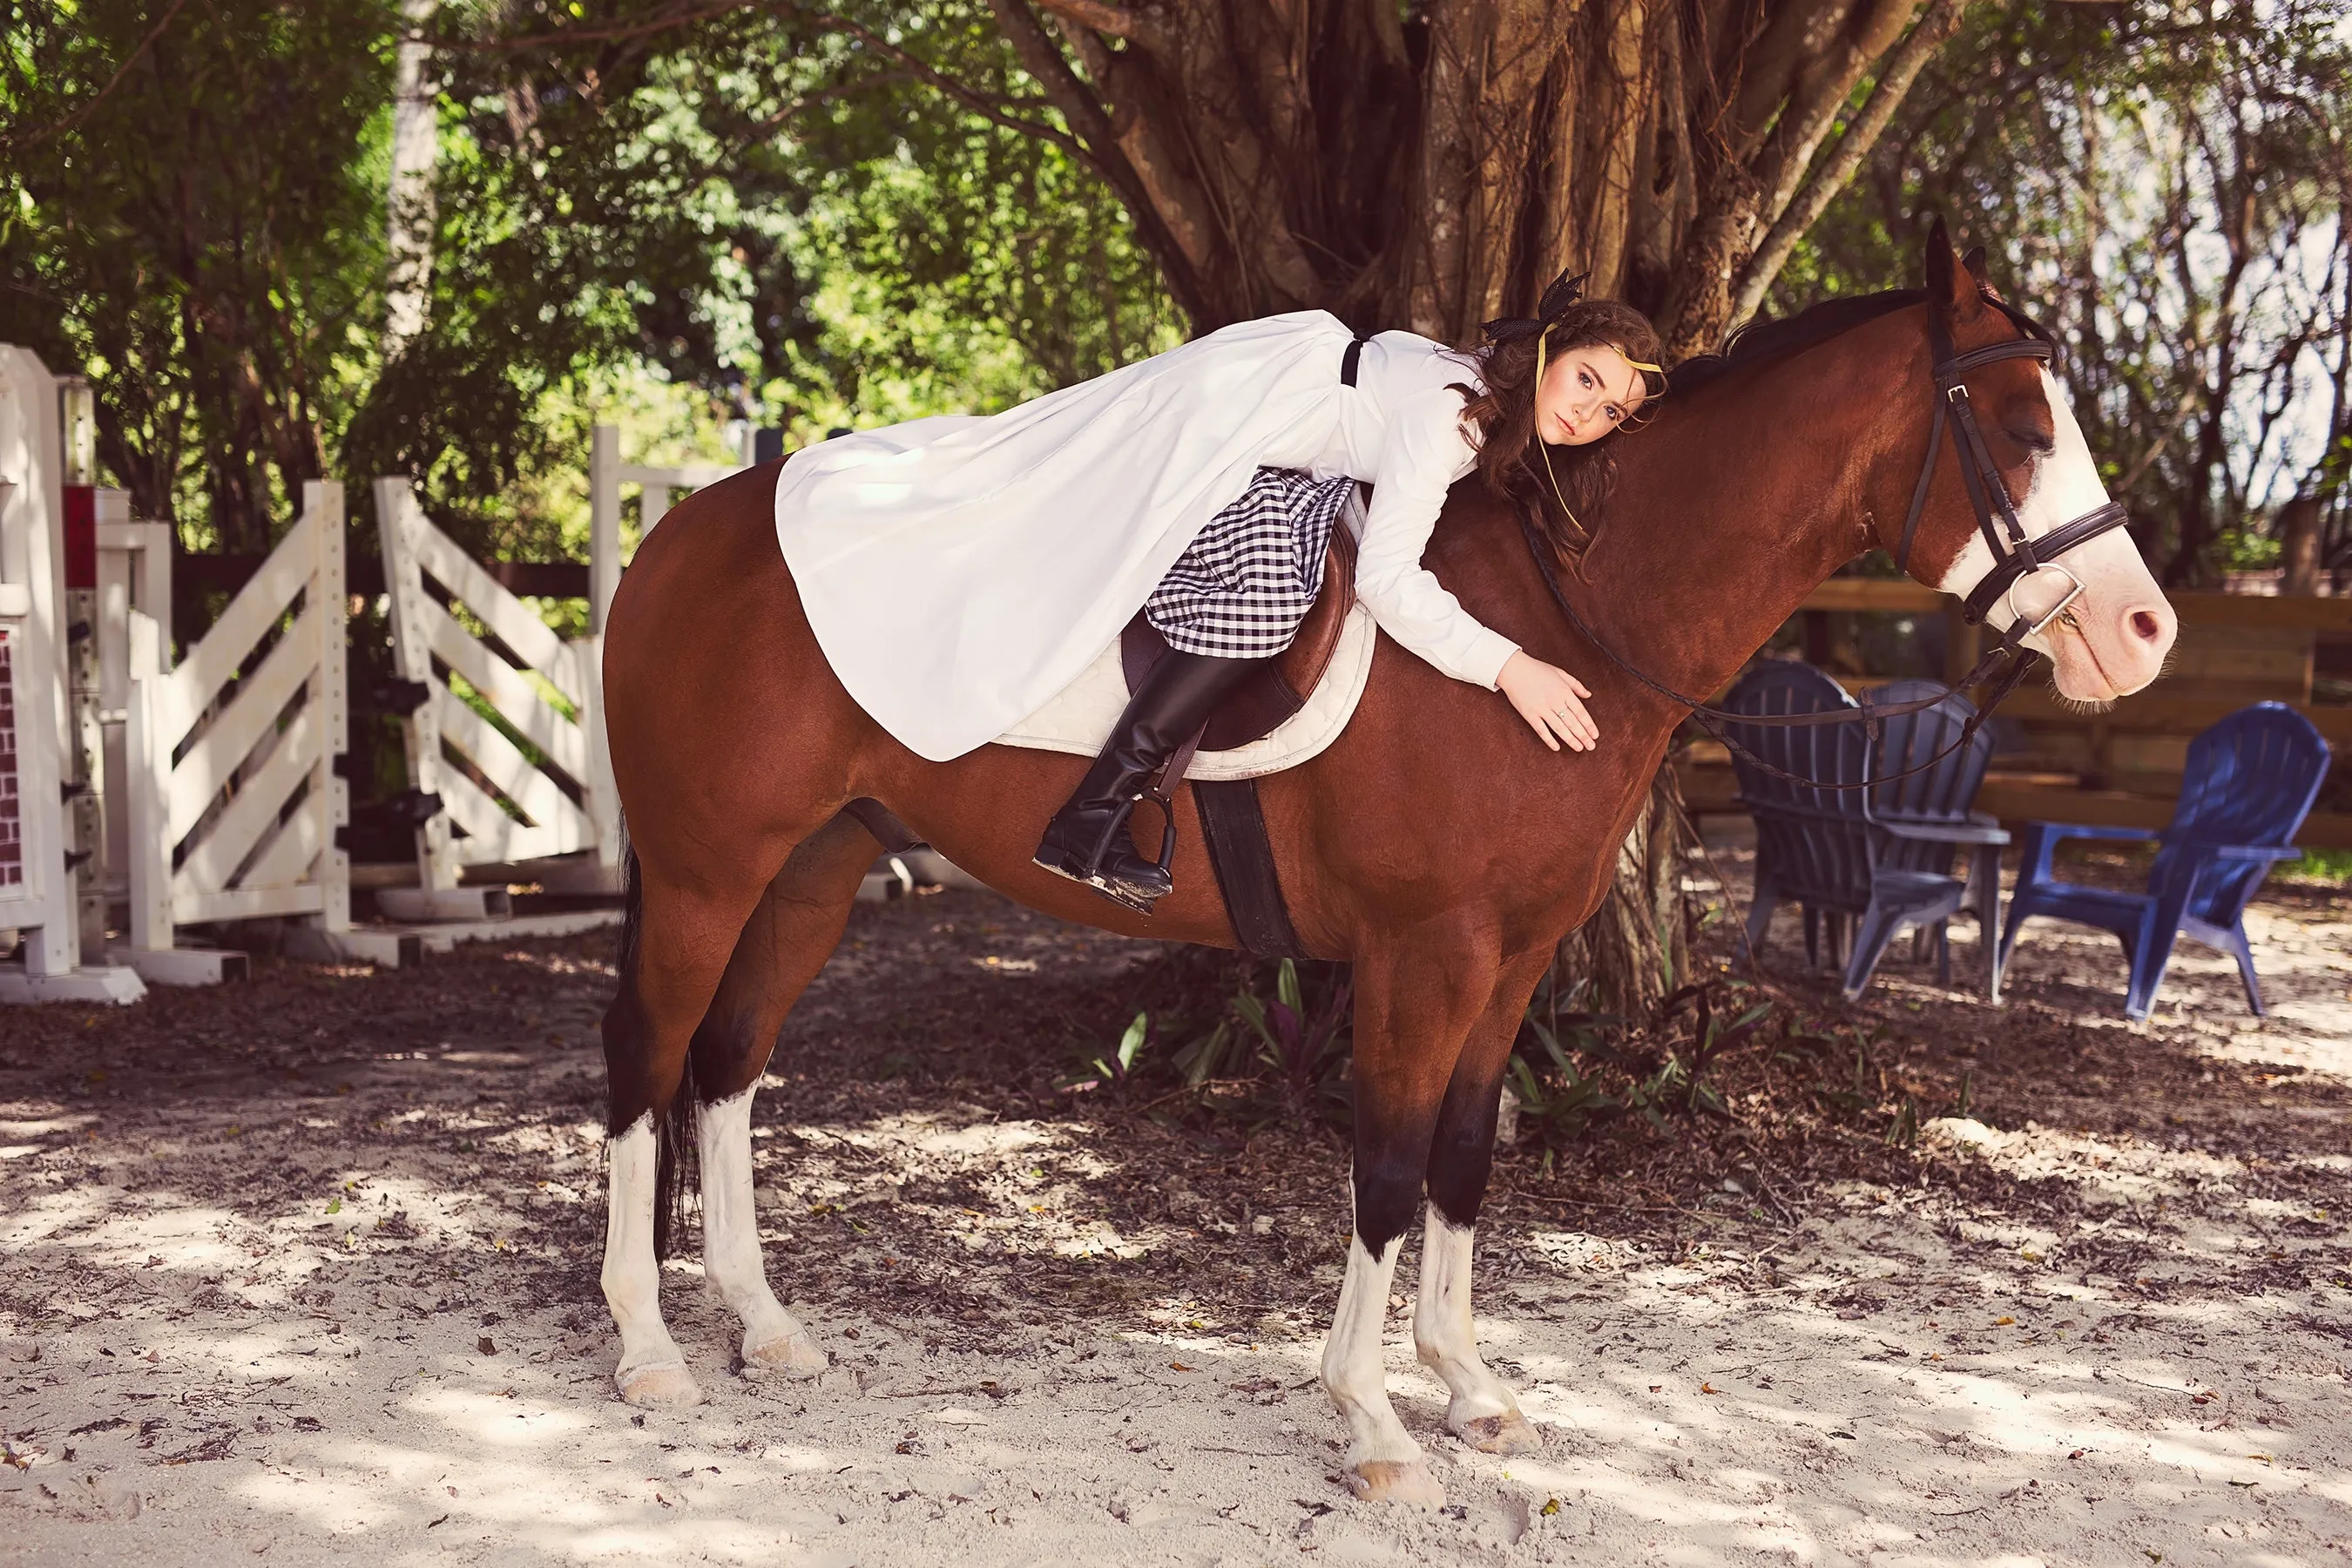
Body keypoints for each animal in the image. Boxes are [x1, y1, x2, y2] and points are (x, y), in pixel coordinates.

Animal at [597, 223, 2173, 1504]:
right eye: (2019, 421)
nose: (2144, 631)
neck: (1552, 614)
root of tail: (685, 528)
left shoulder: (1516, 961)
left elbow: (1466, 1162)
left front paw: (1469, 1387)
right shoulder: (1428, 954)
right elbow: (1387, 1171)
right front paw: (1369, 1420)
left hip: (811, 869)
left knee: (725, 1067)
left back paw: (764, 1326)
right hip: (705, 875)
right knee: (644, 1062)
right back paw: (647, 1346)